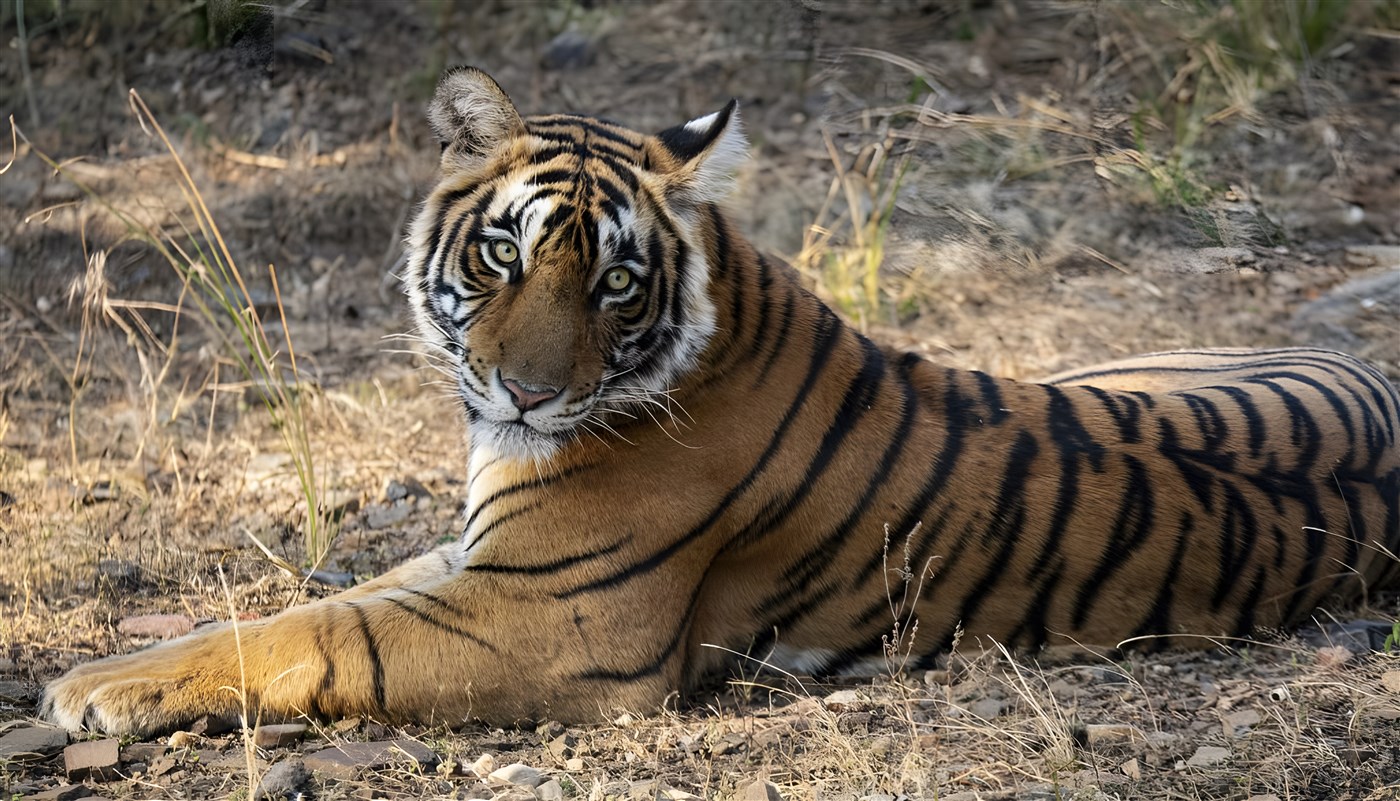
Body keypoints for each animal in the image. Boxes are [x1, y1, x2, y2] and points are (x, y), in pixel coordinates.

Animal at [42, 66, 1400, 737]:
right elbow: (314, 603)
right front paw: (110, 660)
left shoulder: (547, 620)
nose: (527, 393)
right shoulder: (478, 557)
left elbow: (318, 637)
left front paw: (85, 691)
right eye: (503, 252)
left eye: (616, 279)